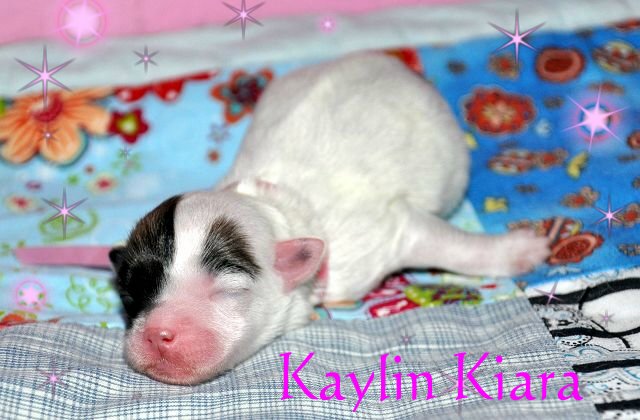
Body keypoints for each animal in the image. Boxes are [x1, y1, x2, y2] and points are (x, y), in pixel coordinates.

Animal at [109, 52, 550, 385]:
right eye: (130, 294)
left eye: (229, 291)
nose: (158, 334)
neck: (278, 206)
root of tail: (387, 60)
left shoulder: (383, 234)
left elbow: (453, 246)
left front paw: (523, 249)